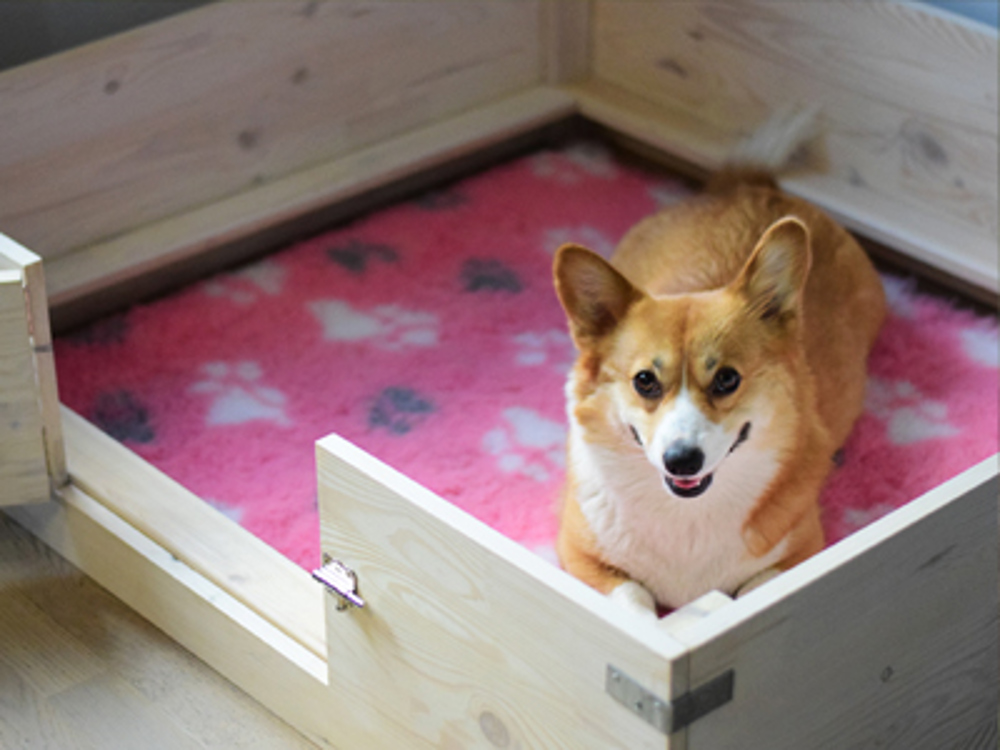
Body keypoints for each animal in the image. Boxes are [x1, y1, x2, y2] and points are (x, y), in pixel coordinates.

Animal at [552, 113, 888, 616]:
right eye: (645, 381)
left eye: (727, 378)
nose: (681, 460)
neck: (687, 513)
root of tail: (747, 185)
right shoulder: (580, 554)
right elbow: (634, 605)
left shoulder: (797, 553)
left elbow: (749, 593)